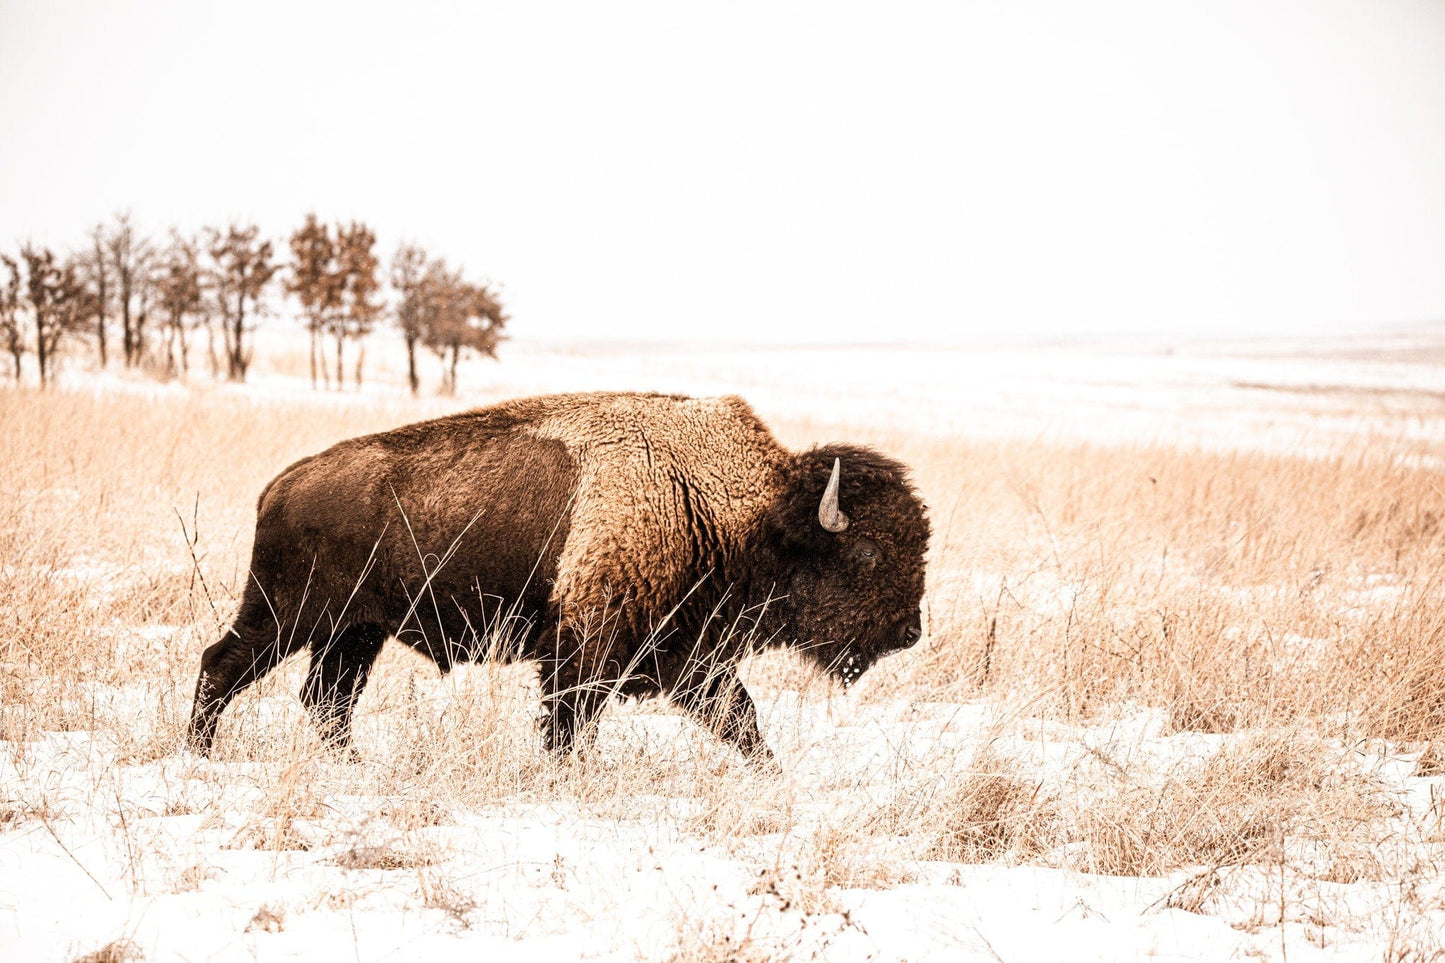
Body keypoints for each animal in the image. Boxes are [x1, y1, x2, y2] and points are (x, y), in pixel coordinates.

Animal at [186, 390, 930, 757]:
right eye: (867, 553)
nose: (908, 633)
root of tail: (281, 483)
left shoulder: (692, 659)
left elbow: (742, 720)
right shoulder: (583, 652)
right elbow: (569, 725)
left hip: (355, 633)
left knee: (327, 698)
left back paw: (350, 764)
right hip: (288, 615)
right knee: (223, 664)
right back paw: (200, 754)